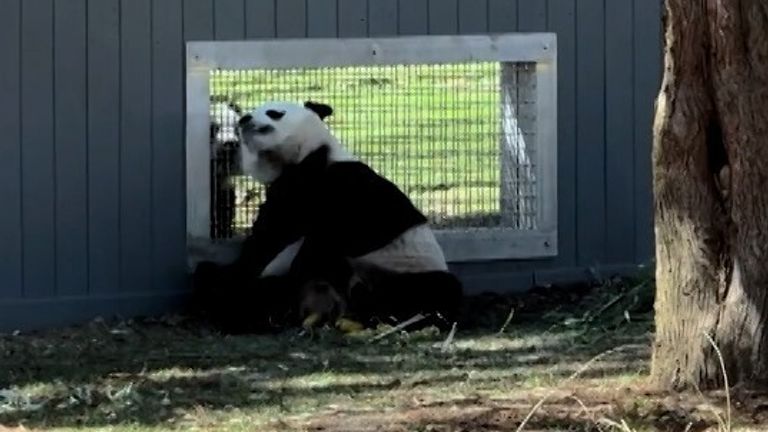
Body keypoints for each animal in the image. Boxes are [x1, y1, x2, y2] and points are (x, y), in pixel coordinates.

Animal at [192, 100, 463, 333]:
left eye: (274, 112)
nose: (245, 118)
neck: (309, 154)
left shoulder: (340, 185)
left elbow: (326, 232)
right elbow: (267, 237)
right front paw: (229, 279)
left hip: (404, 272)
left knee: (439, 290)